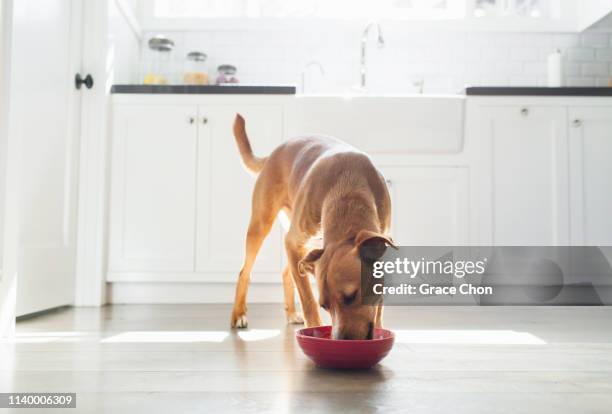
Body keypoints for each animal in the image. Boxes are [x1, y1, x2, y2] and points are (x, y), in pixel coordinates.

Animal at [232, 114, 394, 340]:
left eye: (352, 296)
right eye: (325, 306)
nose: (340, 341)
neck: (348, 189)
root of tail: (272, 154)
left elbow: (378, 306)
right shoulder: (293, 243)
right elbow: (308, 301)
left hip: (304, 247)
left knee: (287, 273)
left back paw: (291, 313)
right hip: (262, 225)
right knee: (245, 272)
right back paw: (238, 314)